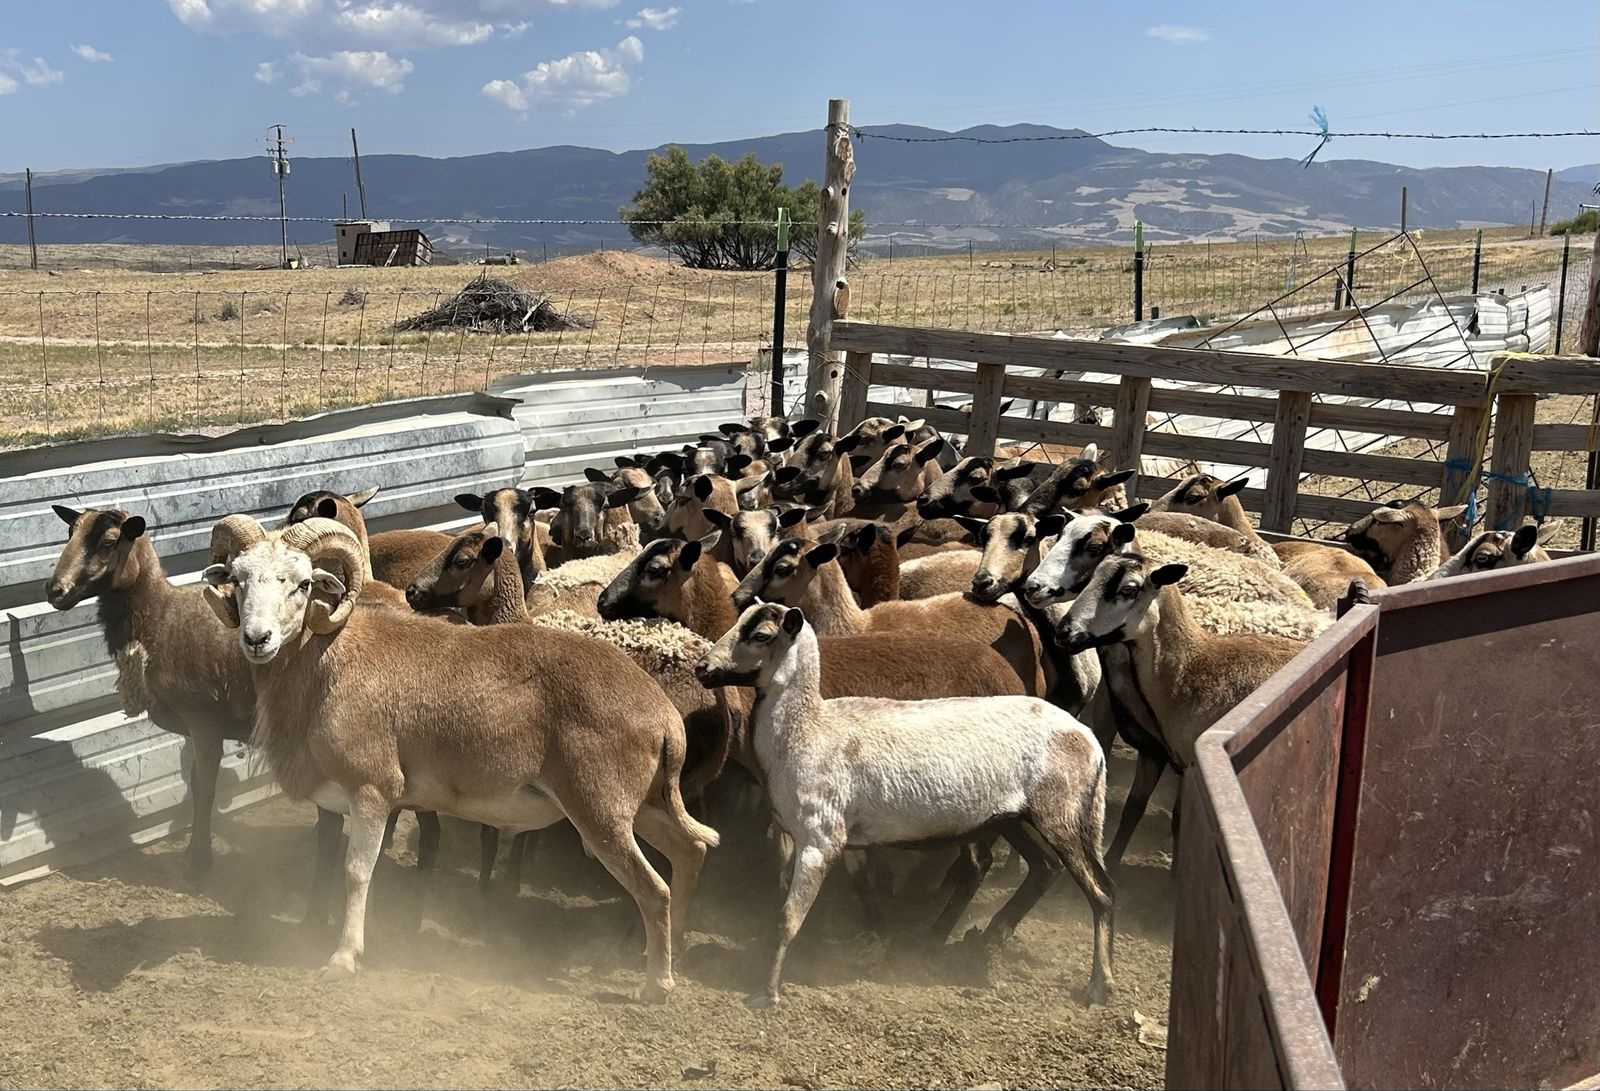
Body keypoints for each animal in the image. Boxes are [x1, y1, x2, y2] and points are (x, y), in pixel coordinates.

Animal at [200, 515, 718, 999]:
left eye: (303, 583)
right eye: (238, 579)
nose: (257, 639)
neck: (327, 661)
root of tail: (663, 715)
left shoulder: (372, 791)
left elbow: (356, 873)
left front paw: (344, 959)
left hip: (601, 814)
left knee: (654, 890)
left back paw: (656, 985)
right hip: (642, 807)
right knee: (689, 851)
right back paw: (670, 946)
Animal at [695, 602, 1114, 1008]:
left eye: (761, 635)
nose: (703, 668)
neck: (807, 730)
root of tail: (1088, 739)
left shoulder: (819, 838)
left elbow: (788, 918)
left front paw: (767, 992)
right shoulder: (844, 837)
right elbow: (852, 886)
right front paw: (874, 938)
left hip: (1062, 816)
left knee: (1101, 892)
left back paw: (1100, 985)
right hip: (1012, 818)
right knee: (1044, 867)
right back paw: (977, 939)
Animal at [1057, 551, 1306, 867]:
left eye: (1129, 589)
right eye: (1091, 578)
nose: (1063, 631)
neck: (1184, 671)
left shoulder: (1189, 766)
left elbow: (1179, 823)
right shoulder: (1153, 754)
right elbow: (1132, 809)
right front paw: (1112, 862)